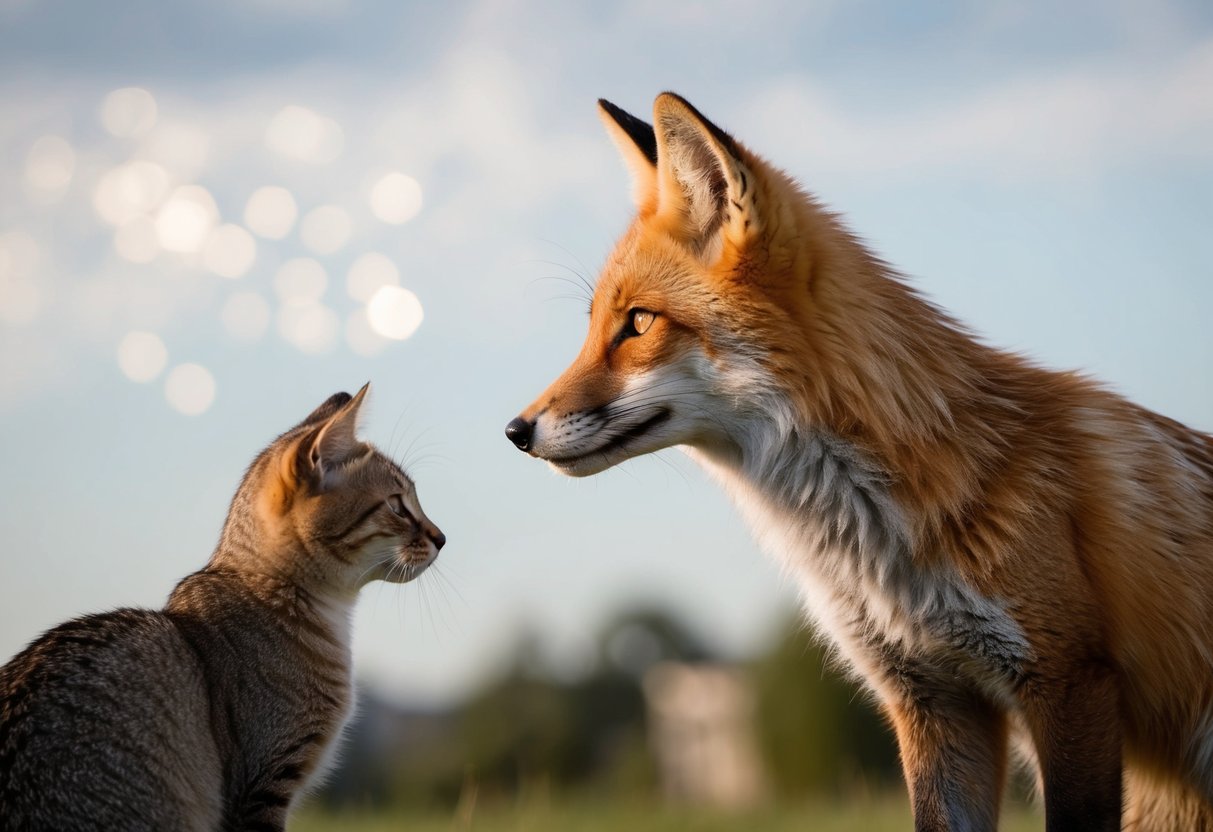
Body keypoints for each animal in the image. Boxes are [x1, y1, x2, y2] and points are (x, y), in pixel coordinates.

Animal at [504, 93, 1213, 831]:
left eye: (638, 324)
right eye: (592, 326)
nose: (515, 431)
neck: (877, 547)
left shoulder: (1068, 681)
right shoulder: (931, 698)